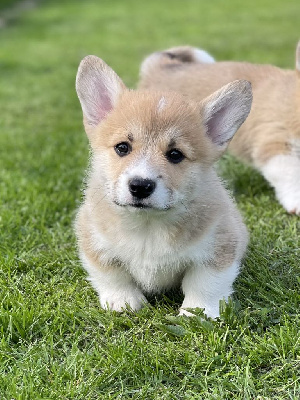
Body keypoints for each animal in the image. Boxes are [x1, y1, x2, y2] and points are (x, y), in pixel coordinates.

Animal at [74, 56, 251, 318]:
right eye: (122, 147)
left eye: (175, 154)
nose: (140, 186)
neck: (148, 227)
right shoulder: (93, 240)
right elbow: (111, 275)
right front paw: (123, 301)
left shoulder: (219, 248)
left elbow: (206, 283)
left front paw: (198, 313)